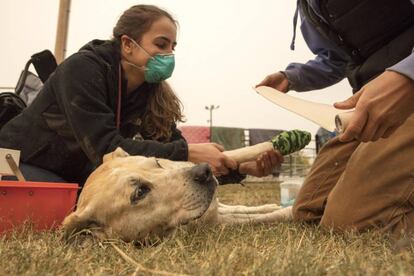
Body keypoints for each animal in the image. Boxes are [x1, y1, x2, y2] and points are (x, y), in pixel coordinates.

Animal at [62, 129, 310, 242]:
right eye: (140, 192)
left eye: (157, 162)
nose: (204, 171)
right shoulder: (218, 223)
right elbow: (257, 217)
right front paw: (288, 210)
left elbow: (242, 154)